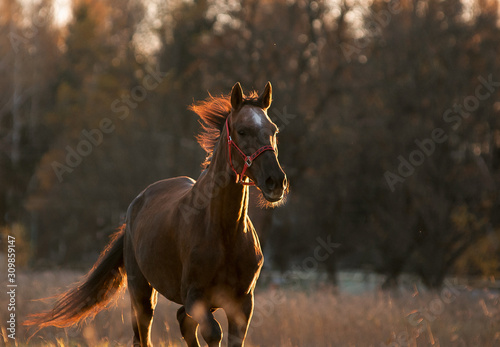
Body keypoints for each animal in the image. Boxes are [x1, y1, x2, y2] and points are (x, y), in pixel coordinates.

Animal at [24, 82, 290, 347]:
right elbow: (213, 333)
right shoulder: (195, 297)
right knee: (145, 334)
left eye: (273, 130)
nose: (276, 181)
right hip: (141, 292)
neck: (224, 232)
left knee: (182, 321)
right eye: (242, 131)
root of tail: (135, 205)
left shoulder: (242, 303)